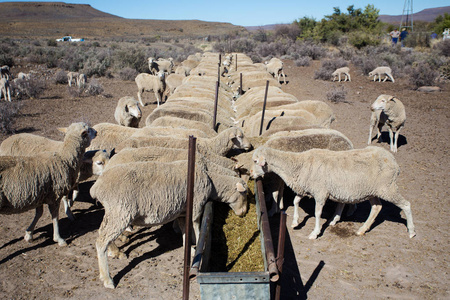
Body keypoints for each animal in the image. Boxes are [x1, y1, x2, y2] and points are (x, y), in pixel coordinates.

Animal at [90, 159, 248, 288]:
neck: (212, 183)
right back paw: (107, 279)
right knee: (101, 241)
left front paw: (189, 249)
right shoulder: (196, 206)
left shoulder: (183, 212)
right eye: (245, 193)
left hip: (113, 212)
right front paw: (199, 249)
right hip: (121, 212)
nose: (244, 213)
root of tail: (96, 188)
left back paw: (115, 252)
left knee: (102, 234)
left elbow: (185, 230)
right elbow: (197, 228)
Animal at [251, 145, 416, 239]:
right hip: (373, 191)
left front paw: (315, 232)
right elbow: (295, 201)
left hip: (387, 187)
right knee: (377, 207)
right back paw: (362, 229)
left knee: (406, 204)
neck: (298, 164)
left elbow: (317, 213)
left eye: (255, 161)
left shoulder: (320, 192)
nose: (251, 175)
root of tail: (393, 160)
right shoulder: (305, 189)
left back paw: (411, 231)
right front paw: (295, 222)